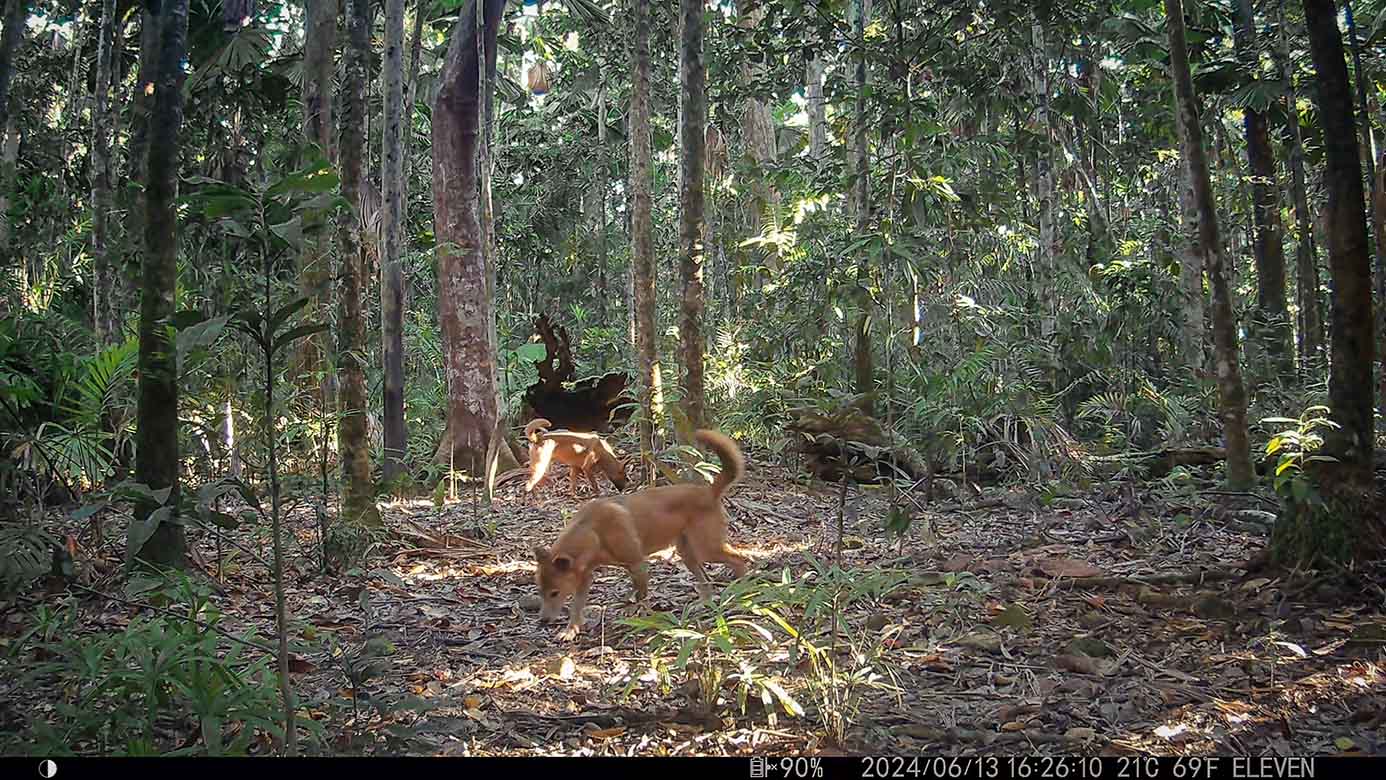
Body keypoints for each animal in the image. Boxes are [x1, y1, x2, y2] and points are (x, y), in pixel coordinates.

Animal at [532, 429, 750, 640]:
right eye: (540, 592)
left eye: (554, 593)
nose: (542, 621)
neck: (593, 531)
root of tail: (709, 491)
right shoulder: (584, 576)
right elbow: (576, 608)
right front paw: (570, 631)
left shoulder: (637, 564)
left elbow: (641, 597)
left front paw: (641, 619)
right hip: (688, 553)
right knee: (706, 582)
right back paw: (705, 603)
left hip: (707, 549)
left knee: (740, 560)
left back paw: (741, 592)